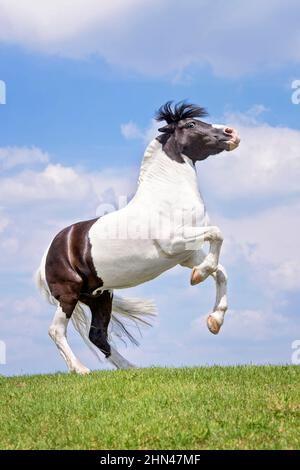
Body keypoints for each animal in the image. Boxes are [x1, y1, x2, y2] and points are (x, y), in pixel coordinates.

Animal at [36, 101, 240, 372]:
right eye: (191, 124)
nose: (232, 133)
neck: (167, 195)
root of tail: (52, 249)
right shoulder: (175, 242)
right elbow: (217, 234)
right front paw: (199, 276)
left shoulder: (187, 254)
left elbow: (221, 271)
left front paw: (214, 320)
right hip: (68, 294)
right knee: (56, 331)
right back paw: (81, 370)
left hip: (99, 296)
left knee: (97, 335)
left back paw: (131, 368)